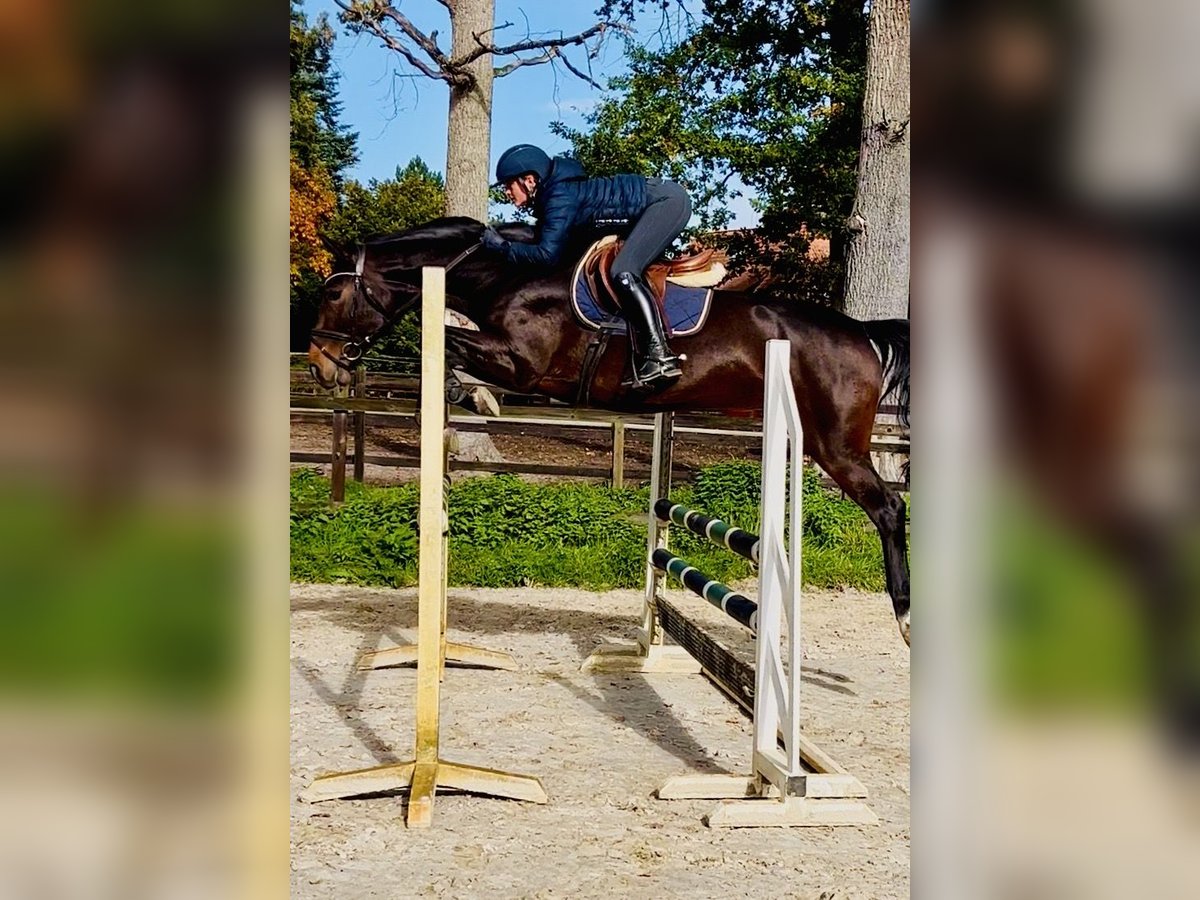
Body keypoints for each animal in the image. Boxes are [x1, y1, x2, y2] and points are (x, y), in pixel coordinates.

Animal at [308, 217, 912, 645]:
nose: (319, 365)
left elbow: (444, 346)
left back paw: (905, 615)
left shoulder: (523, 365)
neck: (508, 274)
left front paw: (469, 394)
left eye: (334, 295)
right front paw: (468, 397)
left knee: (889, 507)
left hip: (836, 445)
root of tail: (860, 332)